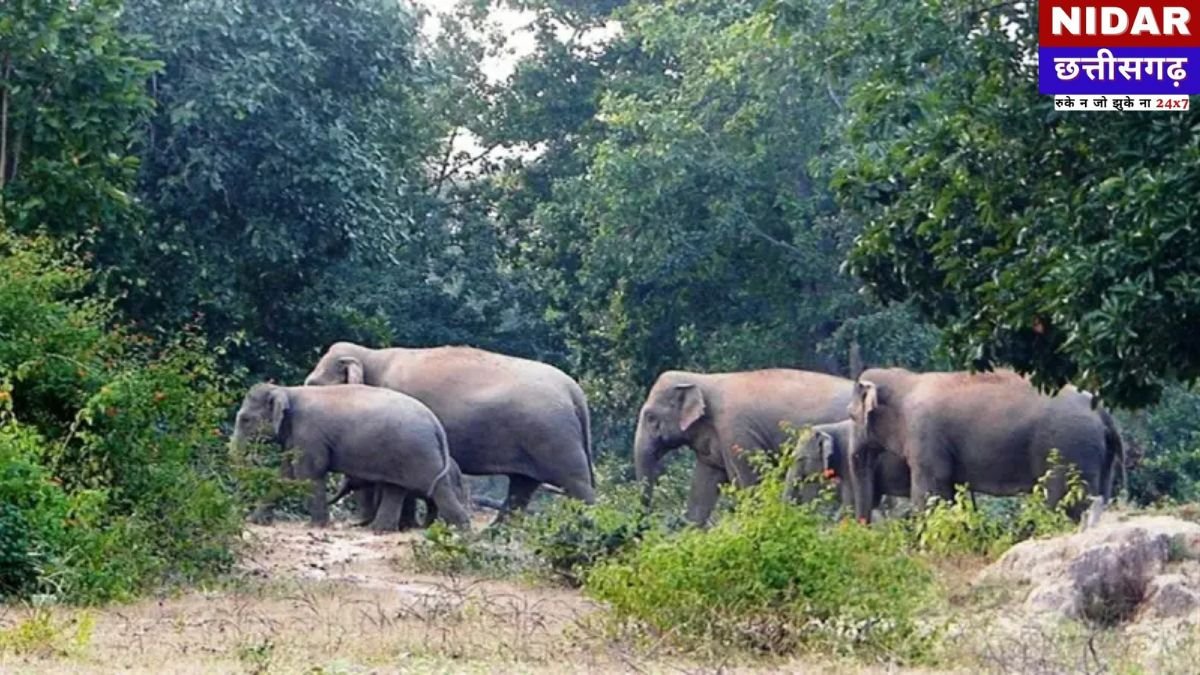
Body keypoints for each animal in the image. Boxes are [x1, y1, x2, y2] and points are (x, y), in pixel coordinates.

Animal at [231, 382, 471, 531]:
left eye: (245, 419)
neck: (286, 390)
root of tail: (435, 422)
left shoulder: (309, 433)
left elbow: (309, 473)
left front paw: (316, 526)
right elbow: (286, 475)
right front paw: (256, 521)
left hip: (417, 452)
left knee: (437, 488)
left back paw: (462, 532)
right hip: (402, 453)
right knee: (396, 488)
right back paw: (379, 530)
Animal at [303, 342, 594, 523]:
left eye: (313, 384)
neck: (369, 355)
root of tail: (574, 391)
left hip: (554, 436)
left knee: (576, 483)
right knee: (522, 485)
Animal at [846, 367, 1125, 523]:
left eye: (851, 415)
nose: (864, 528)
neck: (906, 380)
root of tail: (1102, 412)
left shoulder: (924, 434)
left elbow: (931, 490)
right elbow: (953, 491)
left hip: (1067, 448)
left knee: (1062, 500)